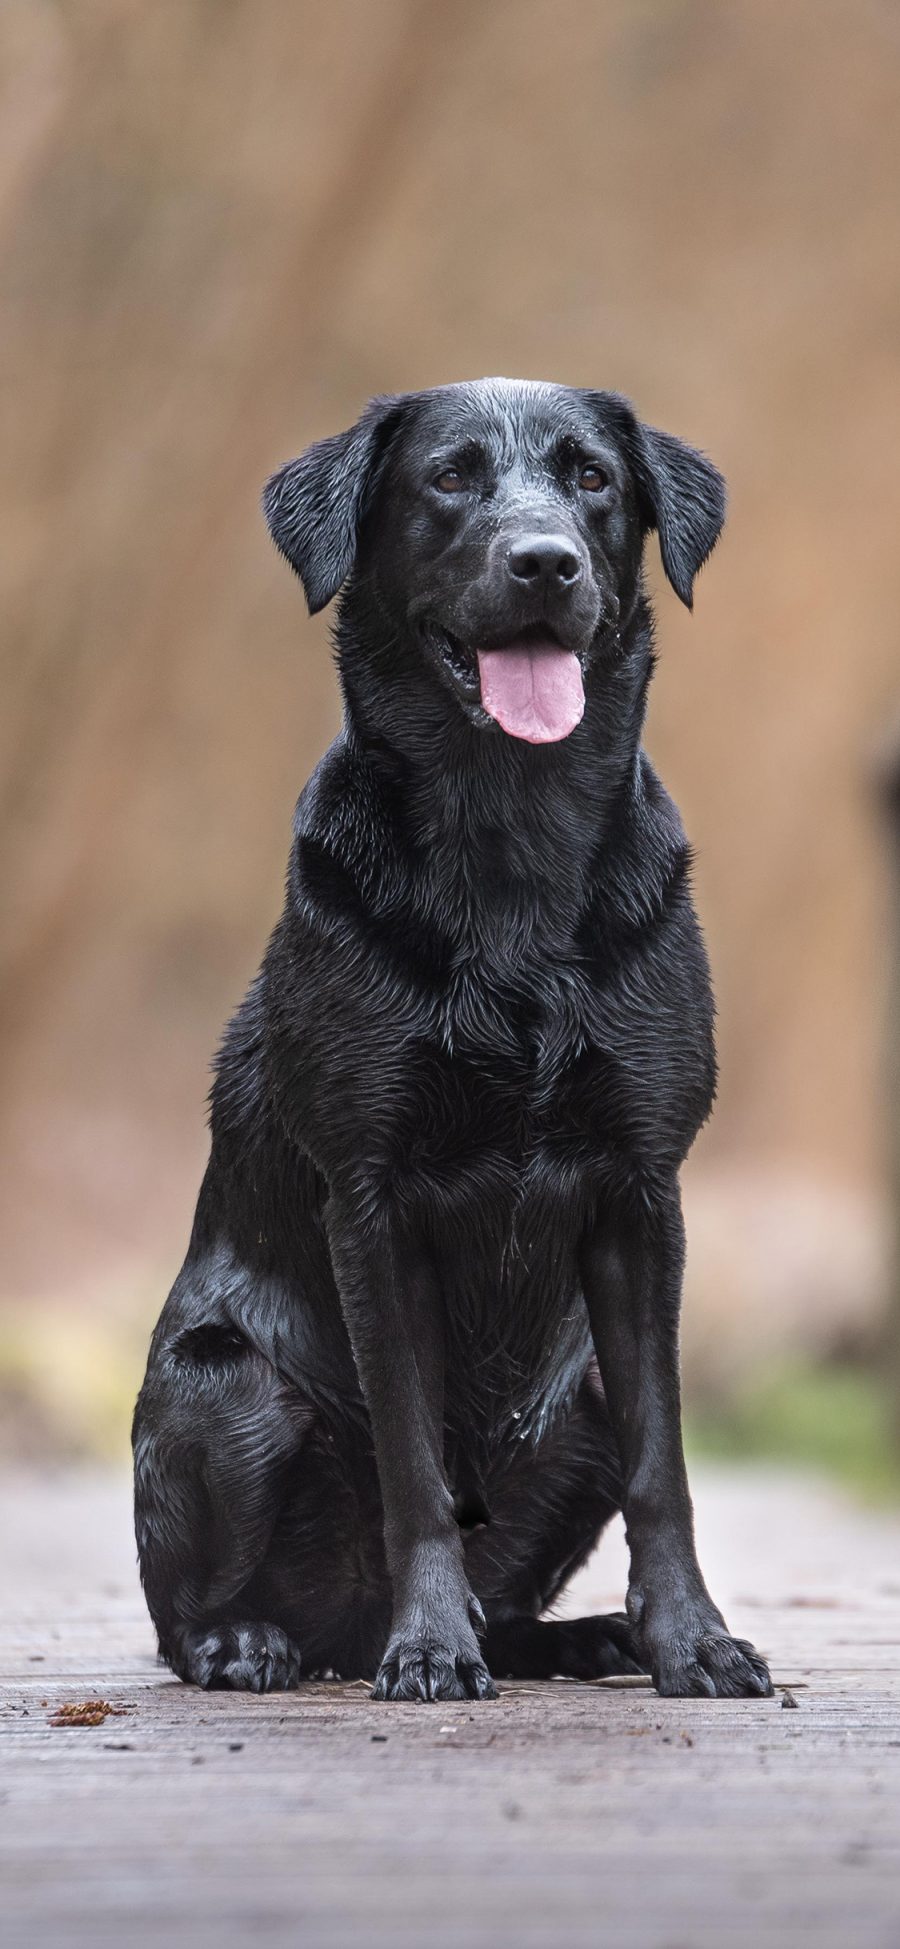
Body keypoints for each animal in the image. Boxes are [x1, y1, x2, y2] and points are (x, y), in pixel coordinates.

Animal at [131, 372, 775, 1699]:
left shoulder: (643, 1192)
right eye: (450, 477)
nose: (544, 562)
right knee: (186, 1615)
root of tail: (335, 1630)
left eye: (592, 478)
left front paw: (692, 1638)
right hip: (227, 1381)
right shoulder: (373, 1200)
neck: (512, 842)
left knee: (522, 1587)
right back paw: (258, 1640)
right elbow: (416, 1465)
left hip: (578, 1391)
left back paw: (583, 1637)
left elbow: (667, 1467)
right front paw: (429, 1647)